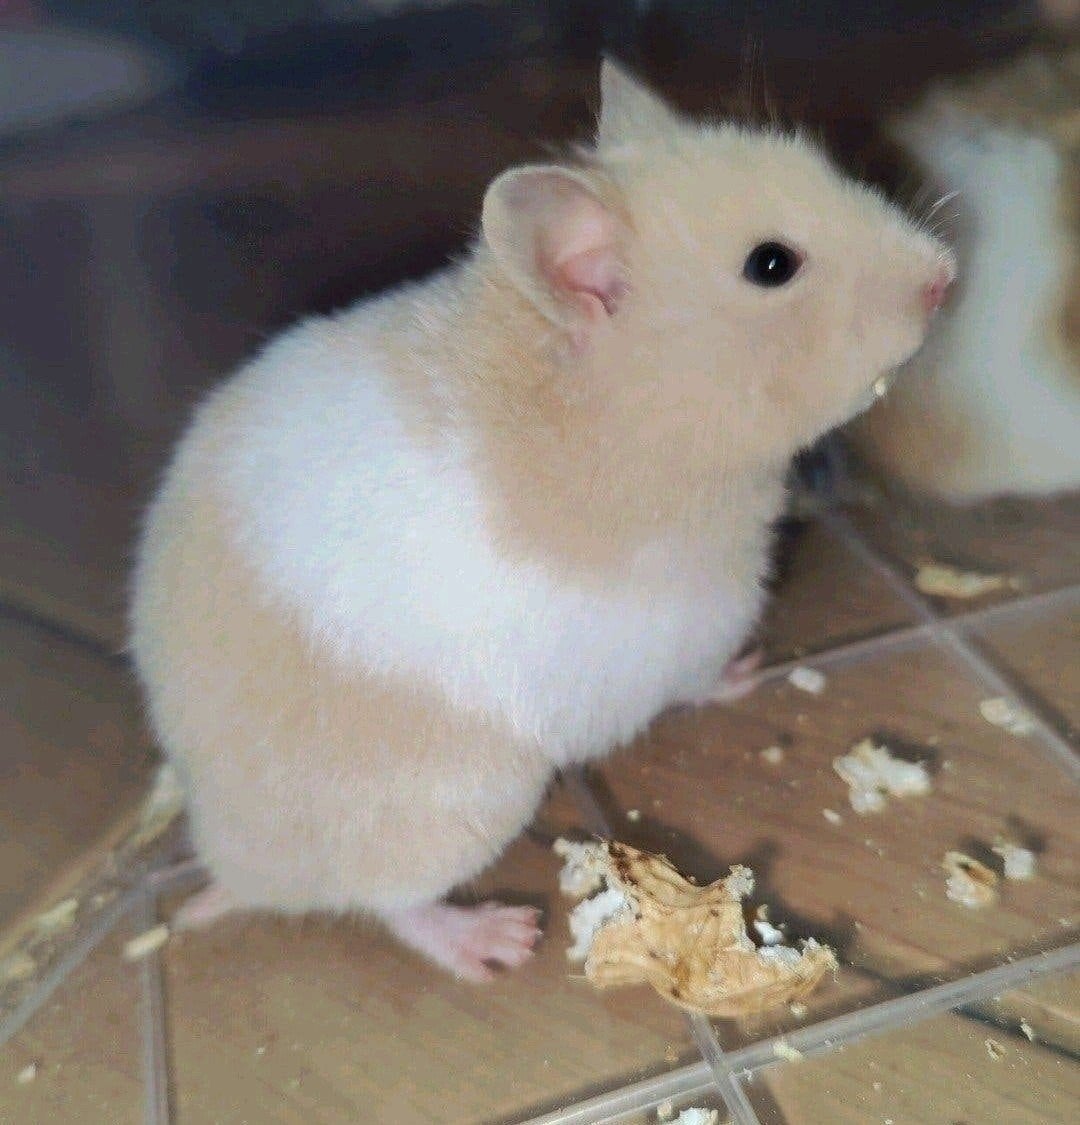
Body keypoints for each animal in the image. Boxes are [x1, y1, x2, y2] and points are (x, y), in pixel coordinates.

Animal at [130, 60, 954, 981]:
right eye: (771, 264)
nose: (949, 273)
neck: (617, 407)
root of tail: (229, 860)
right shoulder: (690, 631)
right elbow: (702, 677)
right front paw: (752, 668)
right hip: (461, 809)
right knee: (391, 906)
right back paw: (498, 941)